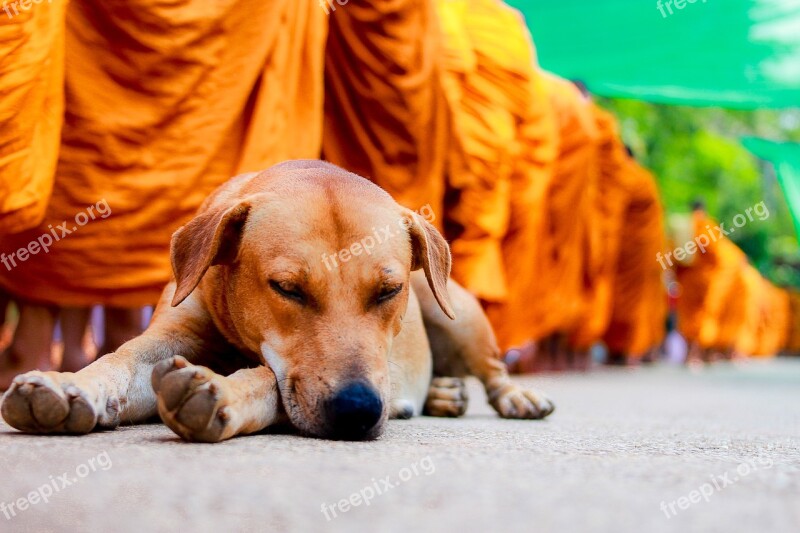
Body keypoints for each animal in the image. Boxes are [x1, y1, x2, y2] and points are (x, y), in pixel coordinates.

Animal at [0, 161, 552, 440]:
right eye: (287, 288)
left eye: (387, 291)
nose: (357, 409)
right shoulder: (175, 329)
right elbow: (122, 358)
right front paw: (71, 385)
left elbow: (269, 379)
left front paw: (221, 391)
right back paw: (442, 394)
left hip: (452, 311)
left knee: (492, 370)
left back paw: (514, 397)